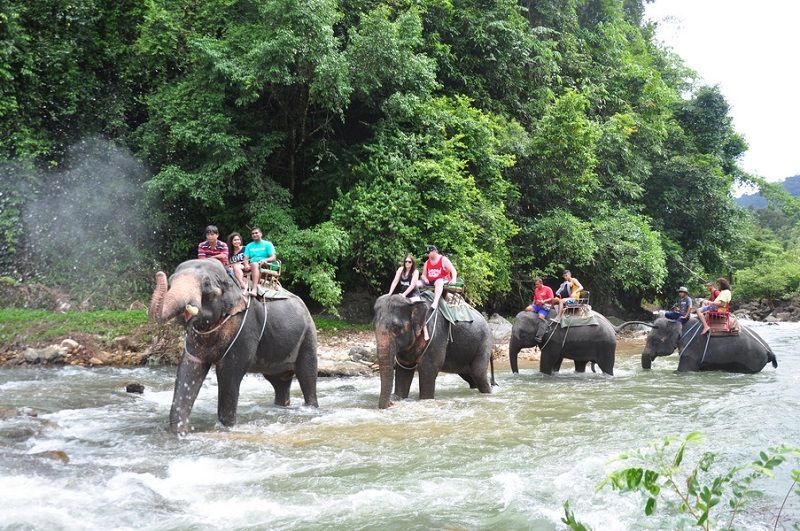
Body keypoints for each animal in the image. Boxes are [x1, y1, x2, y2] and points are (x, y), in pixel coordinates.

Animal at [148, 258, 318, 436]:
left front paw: (227, 427)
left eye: (206, 285)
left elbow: (229, 372)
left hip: (308, 336)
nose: (159, 273)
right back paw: (281, 406)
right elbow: (189, 368)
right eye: (171, 281)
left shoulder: (245, 328)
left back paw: (311, 409)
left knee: (307, 376)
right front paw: (179, 433)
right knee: (279, 381)